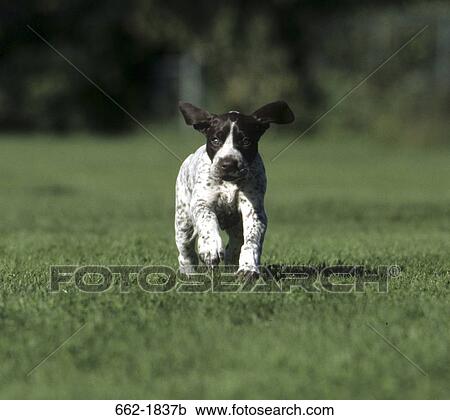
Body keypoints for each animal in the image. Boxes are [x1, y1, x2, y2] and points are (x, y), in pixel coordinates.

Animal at [174, 101, 294, 278]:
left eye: (245, 141)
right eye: (215, 140)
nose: (228, 164)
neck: (229, 183)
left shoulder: (254, 211)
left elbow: (251, 241)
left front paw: (248, 267)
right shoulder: (202, 203)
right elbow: (207, 219)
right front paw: (210, 246)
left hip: (236, 226)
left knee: (235, 245)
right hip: (183, 221)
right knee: (186, 249)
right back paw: (189, 271)